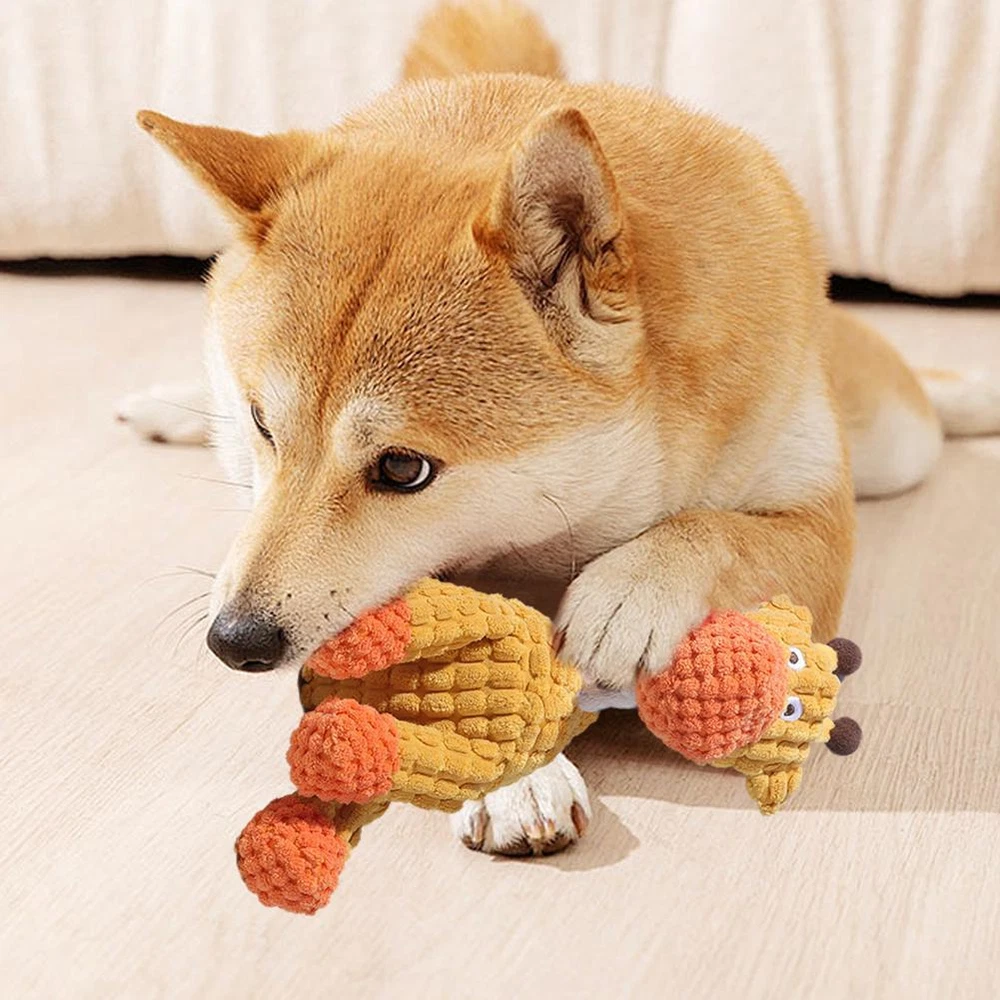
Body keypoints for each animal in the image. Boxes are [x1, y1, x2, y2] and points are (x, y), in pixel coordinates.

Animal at [120, 0, 1000, 855]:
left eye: (403, 469)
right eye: (264, 425)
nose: (236, 639)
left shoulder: (818, 528)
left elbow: (714, 528)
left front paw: (630, 590)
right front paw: (519, 777)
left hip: (893, 441)